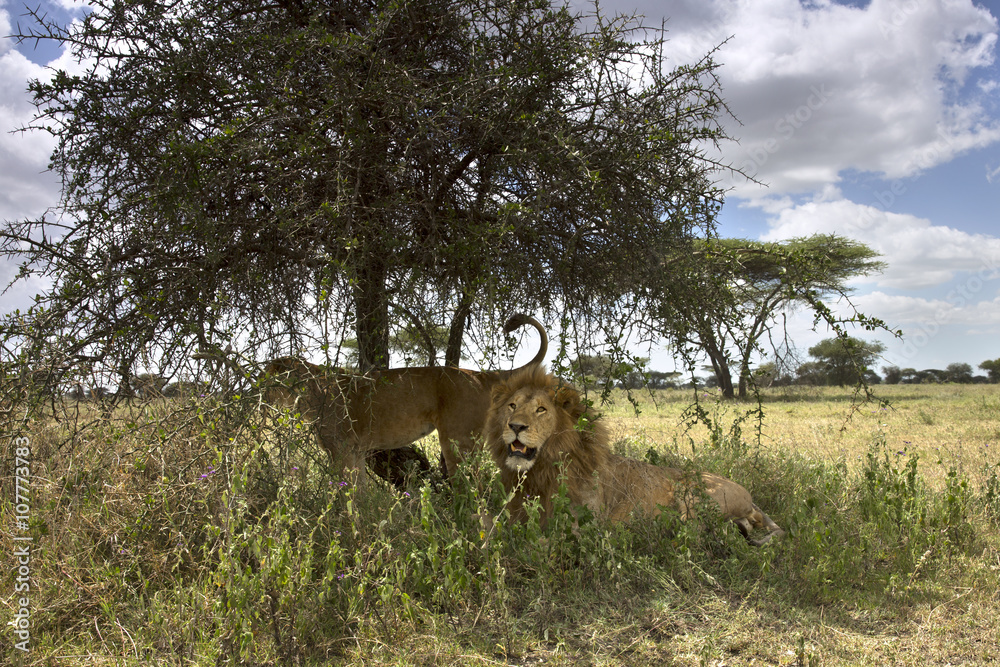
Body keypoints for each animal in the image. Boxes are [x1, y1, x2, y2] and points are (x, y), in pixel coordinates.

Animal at [263, 314, 547, 487]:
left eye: (267, 376)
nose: (258, 392)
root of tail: (477, 373)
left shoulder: (341, 451)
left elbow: (346, 496)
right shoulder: (355, 453)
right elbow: (359, 494)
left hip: (458, 441)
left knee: (471, 486)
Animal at [486, 365, 784, 546]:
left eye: (541, 410)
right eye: (512, 405)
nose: (515, 426)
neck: (541, 470)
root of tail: (750, 499)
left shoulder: (585, 525)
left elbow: (535, 540)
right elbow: (491, 525)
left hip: (693, 495)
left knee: (696, 531)